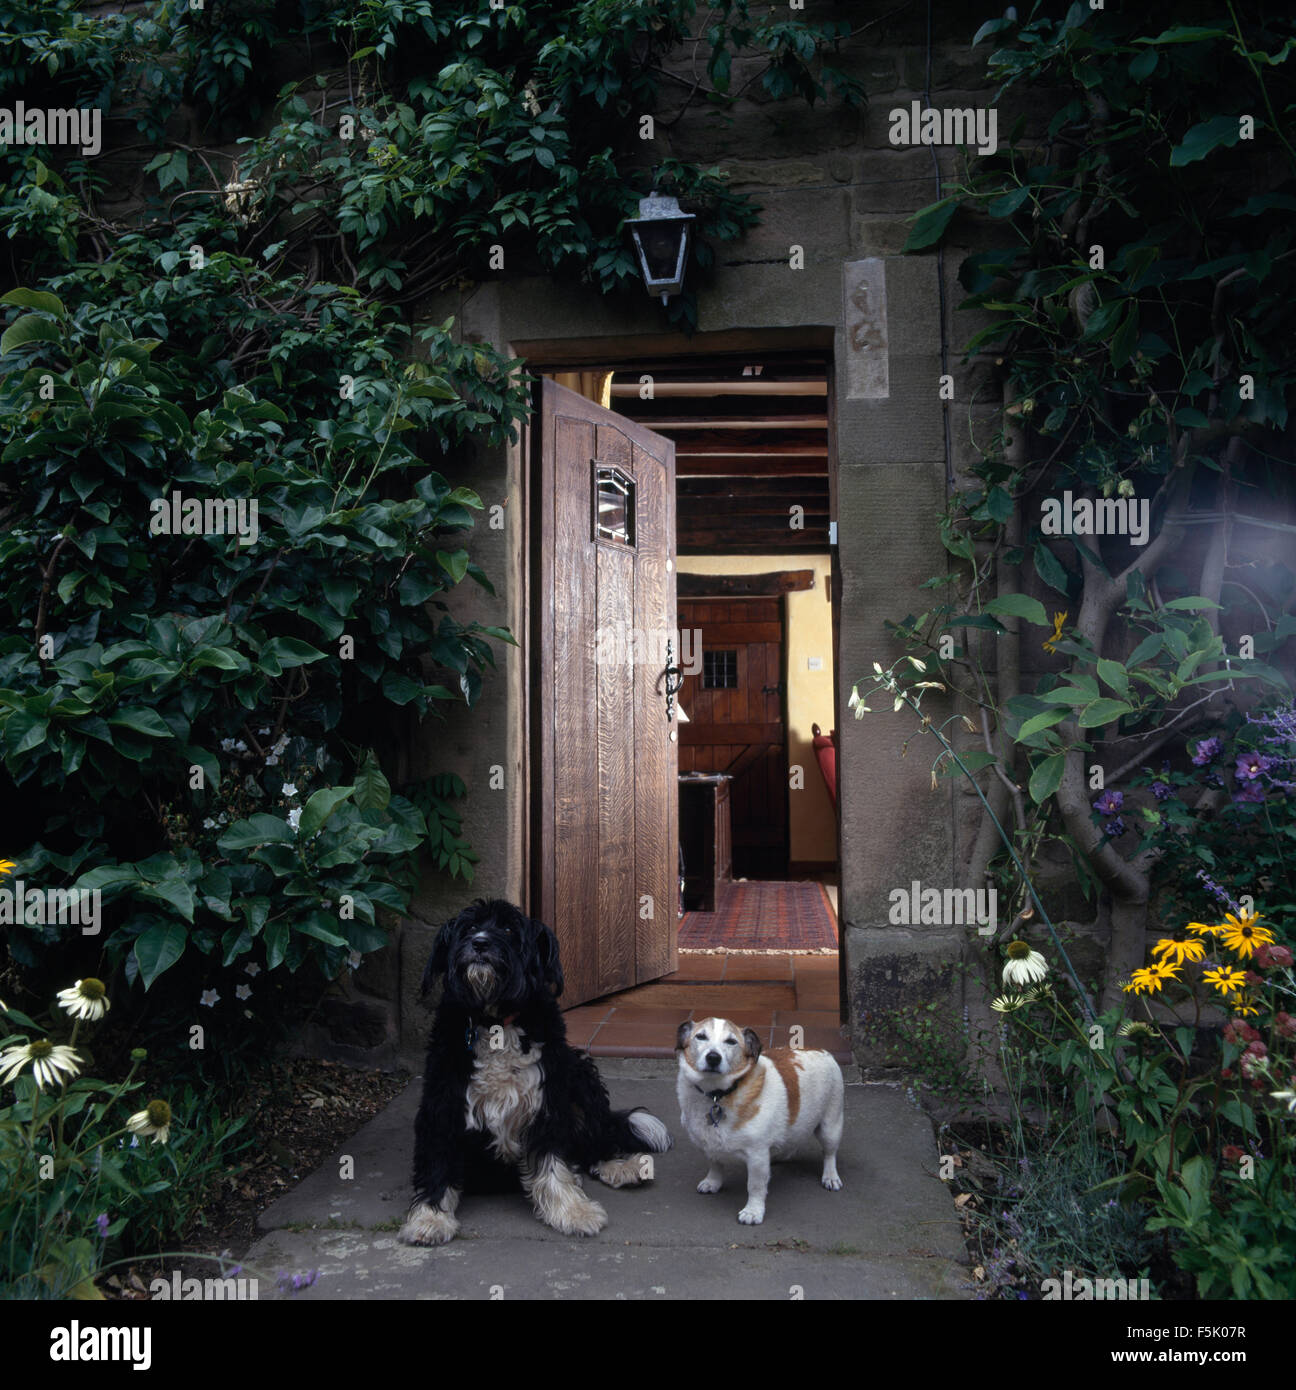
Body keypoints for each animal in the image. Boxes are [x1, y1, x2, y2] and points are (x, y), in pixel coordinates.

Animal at [400, 900, 673, 1251]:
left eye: (507, 929)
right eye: (469, 928)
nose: (479, 943)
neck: (495, 1020)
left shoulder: (547, 1101)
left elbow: (552, 1164)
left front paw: (572, 1211)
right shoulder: (442, 1102)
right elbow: (437, 1162)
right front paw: (430, 1218)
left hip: (580, 1075)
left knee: (594, 1141)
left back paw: (619, 1165)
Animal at [673, 1017, 845, 1223]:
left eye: (731, 1041)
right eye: (700, 1036)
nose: (713, 1057)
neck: (717, 1095)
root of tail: (822, 1050)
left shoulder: (757, 1156)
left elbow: (755, 1186)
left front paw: (753, 1211)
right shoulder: (707, 1145)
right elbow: (715, 1164)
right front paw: (712, 1182)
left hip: (830, 1125)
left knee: (829, 1153)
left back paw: (830, 1176)